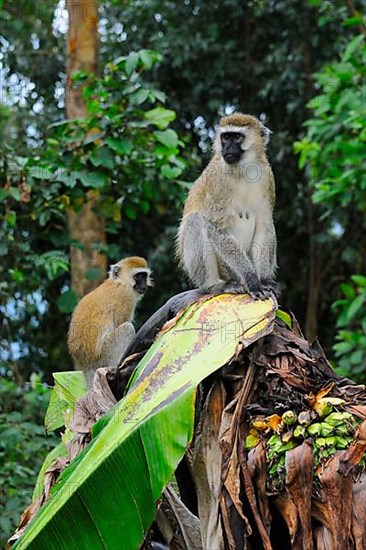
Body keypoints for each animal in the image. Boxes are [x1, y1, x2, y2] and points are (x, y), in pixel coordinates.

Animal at [68, 258, 152, 390]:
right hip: (105, 354)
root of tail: (87, 365)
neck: (119, 282)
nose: (144, 284)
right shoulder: (125, 296)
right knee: (126, 328)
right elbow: (121, 323)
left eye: (144, 276)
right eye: (138, 276)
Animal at [177, 113, 278, 302]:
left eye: (237, 137)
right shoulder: (217, 180)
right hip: (224, 270)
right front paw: (252, 280)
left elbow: (264, 226)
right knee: (196, 220)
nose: (227, 148)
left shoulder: (267, 176)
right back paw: (215, 285)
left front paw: (265, 280)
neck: (243, 169)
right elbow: (216, 226)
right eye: (225, 137)